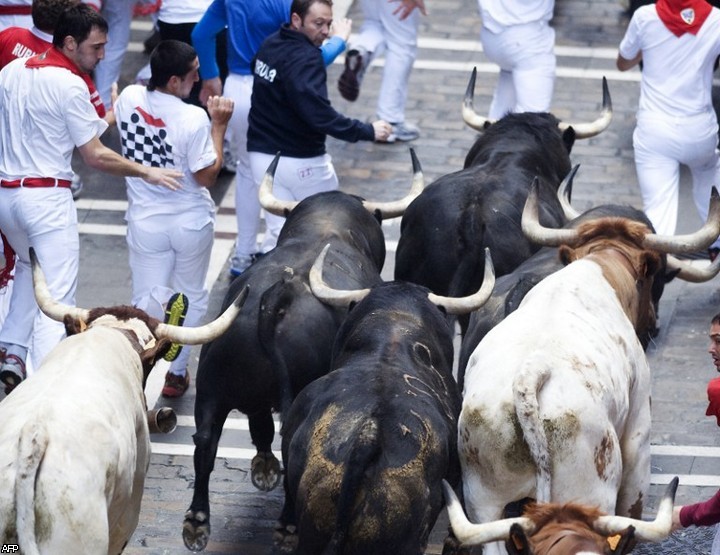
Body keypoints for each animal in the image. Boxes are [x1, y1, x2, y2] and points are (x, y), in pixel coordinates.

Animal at [456, 184, 720, 555]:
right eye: (656, 279)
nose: (654, 322)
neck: (600, 267)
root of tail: (530, 375)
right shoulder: (639, 430)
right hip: (588, 491)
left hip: (483, 500)